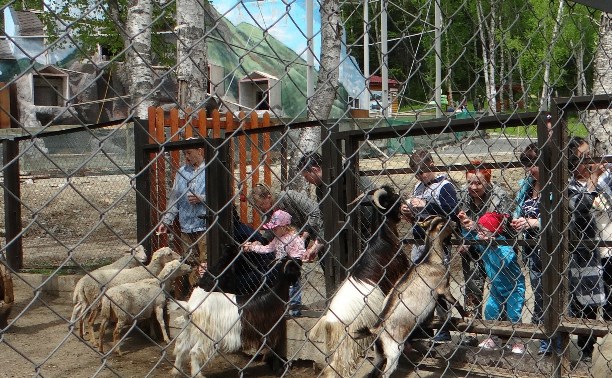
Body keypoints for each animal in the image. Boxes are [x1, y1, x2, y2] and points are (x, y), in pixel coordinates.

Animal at [172, 256, 302, 378]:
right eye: (294, 266)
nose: (301, 261)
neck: (275, 295)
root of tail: (191, 306)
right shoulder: (272, 329)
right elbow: (274, 349)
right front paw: (279, 370)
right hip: (207, 334)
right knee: (194, 351)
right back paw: (197, 374)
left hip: (190, 330)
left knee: (181, 347)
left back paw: (176, 371)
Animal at [308, 186, 408, 378]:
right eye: (390, 198)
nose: (402, 199)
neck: (382, 237)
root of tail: (329, 320)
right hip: (347, 341)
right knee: (338, 365)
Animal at [354, 216, 468, 378]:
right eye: (446, 222)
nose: (455, 222)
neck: (430, 259)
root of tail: (376, 329)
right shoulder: (442, 287)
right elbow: (455, 301)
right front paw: (466, 315)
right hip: (393, 351)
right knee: (384, 373)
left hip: (379, 353)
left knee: (374, 371)